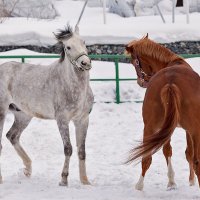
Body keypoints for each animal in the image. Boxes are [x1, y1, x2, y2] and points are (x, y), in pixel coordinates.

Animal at [0, 25, 94, 186]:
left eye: (83, 42)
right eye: (68, 47)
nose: (85, 63)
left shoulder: (82, 120)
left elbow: (82, 150)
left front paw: (85, 181)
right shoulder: (62, 120)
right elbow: (68, 149)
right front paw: (63, 179)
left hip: (23, 115)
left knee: (12, 136)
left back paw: (28, 169)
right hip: (1, 112)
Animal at [125, 35, 200, 191]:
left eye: (134, 63)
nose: (140, 82)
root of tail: (170, 82)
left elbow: (168, 150)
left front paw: (174, 182)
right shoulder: (188, 130)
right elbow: (187, 153)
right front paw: (189, 181)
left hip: (150, 126)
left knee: (146, 157)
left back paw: (140, 186)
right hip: (194, 130)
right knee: (196, 160)